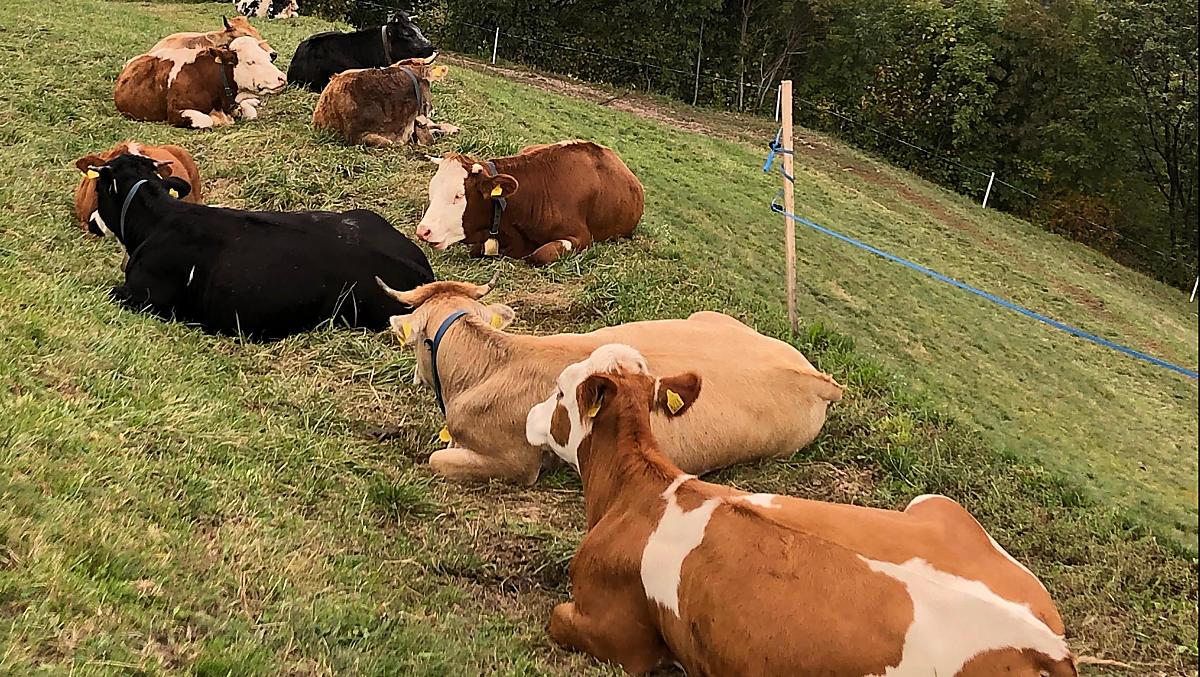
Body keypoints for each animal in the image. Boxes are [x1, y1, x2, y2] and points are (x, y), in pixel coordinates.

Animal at [114, 36, 287, 129]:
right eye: (251, 62)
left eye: (268, 57)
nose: (282, 78)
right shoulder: (175, 112)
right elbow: (206, 120)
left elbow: (250, 112)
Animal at [528, 344, 1077, 677]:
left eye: (558, 392)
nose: (530, 416)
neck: (640, 491)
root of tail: (1045, 644)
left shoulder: (620, 637)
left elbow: (559, 618)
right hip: (937, 503)